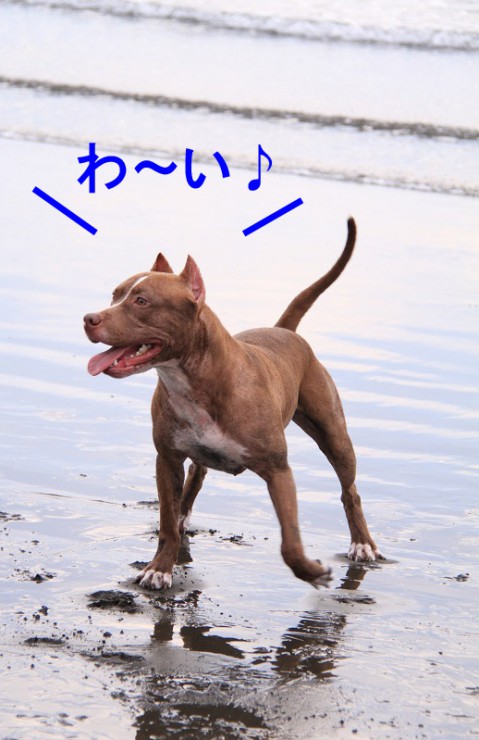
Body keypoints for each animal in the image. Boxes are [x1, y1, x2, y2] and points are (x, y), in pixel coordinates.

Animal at [84, 218, 383, 590]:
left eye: (141, 300)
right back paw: (183, 516)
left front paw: (310, 571)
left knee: (349, 491)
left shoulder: (278, 470)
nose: (89, 318)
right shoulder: (166, 459)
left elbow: (290, 541)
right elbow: (166, 523)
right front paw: (160, 567)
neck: (192, 379)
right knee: (193, 482)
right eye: (115, 295)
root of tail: (285, 331)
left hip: (335, 436)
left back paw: (362, 544)